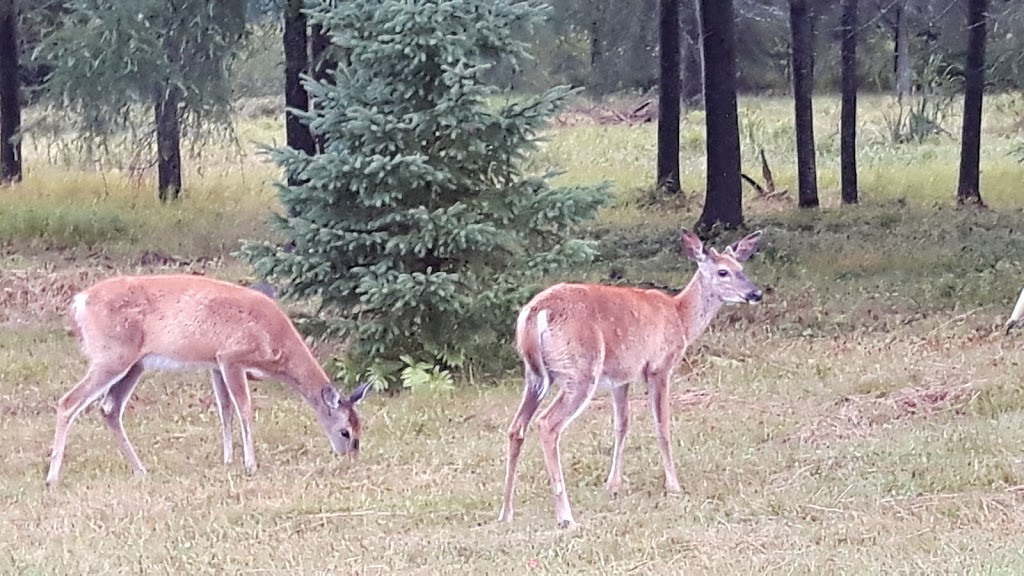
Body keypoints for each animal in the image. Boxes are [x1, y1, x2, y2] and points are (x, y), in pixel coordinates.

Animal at [46, 272, 372, 483]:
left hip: (134, 362)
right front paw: (250, 465)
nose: (350, 457)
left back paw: (141, 470)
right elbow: (244, 409)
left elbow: (224, 410)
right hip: (112, 355)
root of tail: (80, 301)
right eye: (346, 432)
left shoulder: (214, 363)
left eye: (361, 428)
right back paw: (52, 477)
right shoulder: (231, 356)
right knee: (69, 402)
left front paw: (228, 459)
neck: (276, 345)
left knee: (109, 408)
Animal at [499, 227, 765, 524]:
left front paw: (613, 484)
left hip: (535, 375)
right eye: (722, 272)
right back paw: (566, 517)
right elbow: (662, 425)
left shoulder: (621, 376)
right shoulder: (659, 367)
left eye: (741, 267)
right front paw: (674, 486)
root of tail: (536, 311)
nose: (756, 293)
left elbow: (622, 425)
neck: (680, 317)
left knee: (516, 427)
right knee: (547, 424)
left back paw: (506, 512)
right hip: (579, 371)